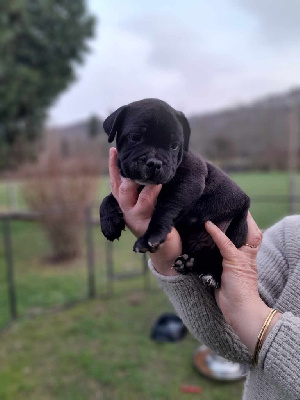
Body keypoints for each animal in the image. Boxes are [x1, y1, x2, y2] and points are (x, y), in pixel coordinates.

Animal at [99, 99, 250, 290]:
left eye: (174, 146)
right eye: (135, 137)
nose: (155, 163)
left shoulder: (189, 181)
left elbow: (165, 207)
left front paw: (151, 236)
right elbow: (108, 198)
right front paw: (109, 221)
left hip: (238, 226)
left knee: (222, 255)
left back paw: (211, 274)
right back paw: (188, 263)